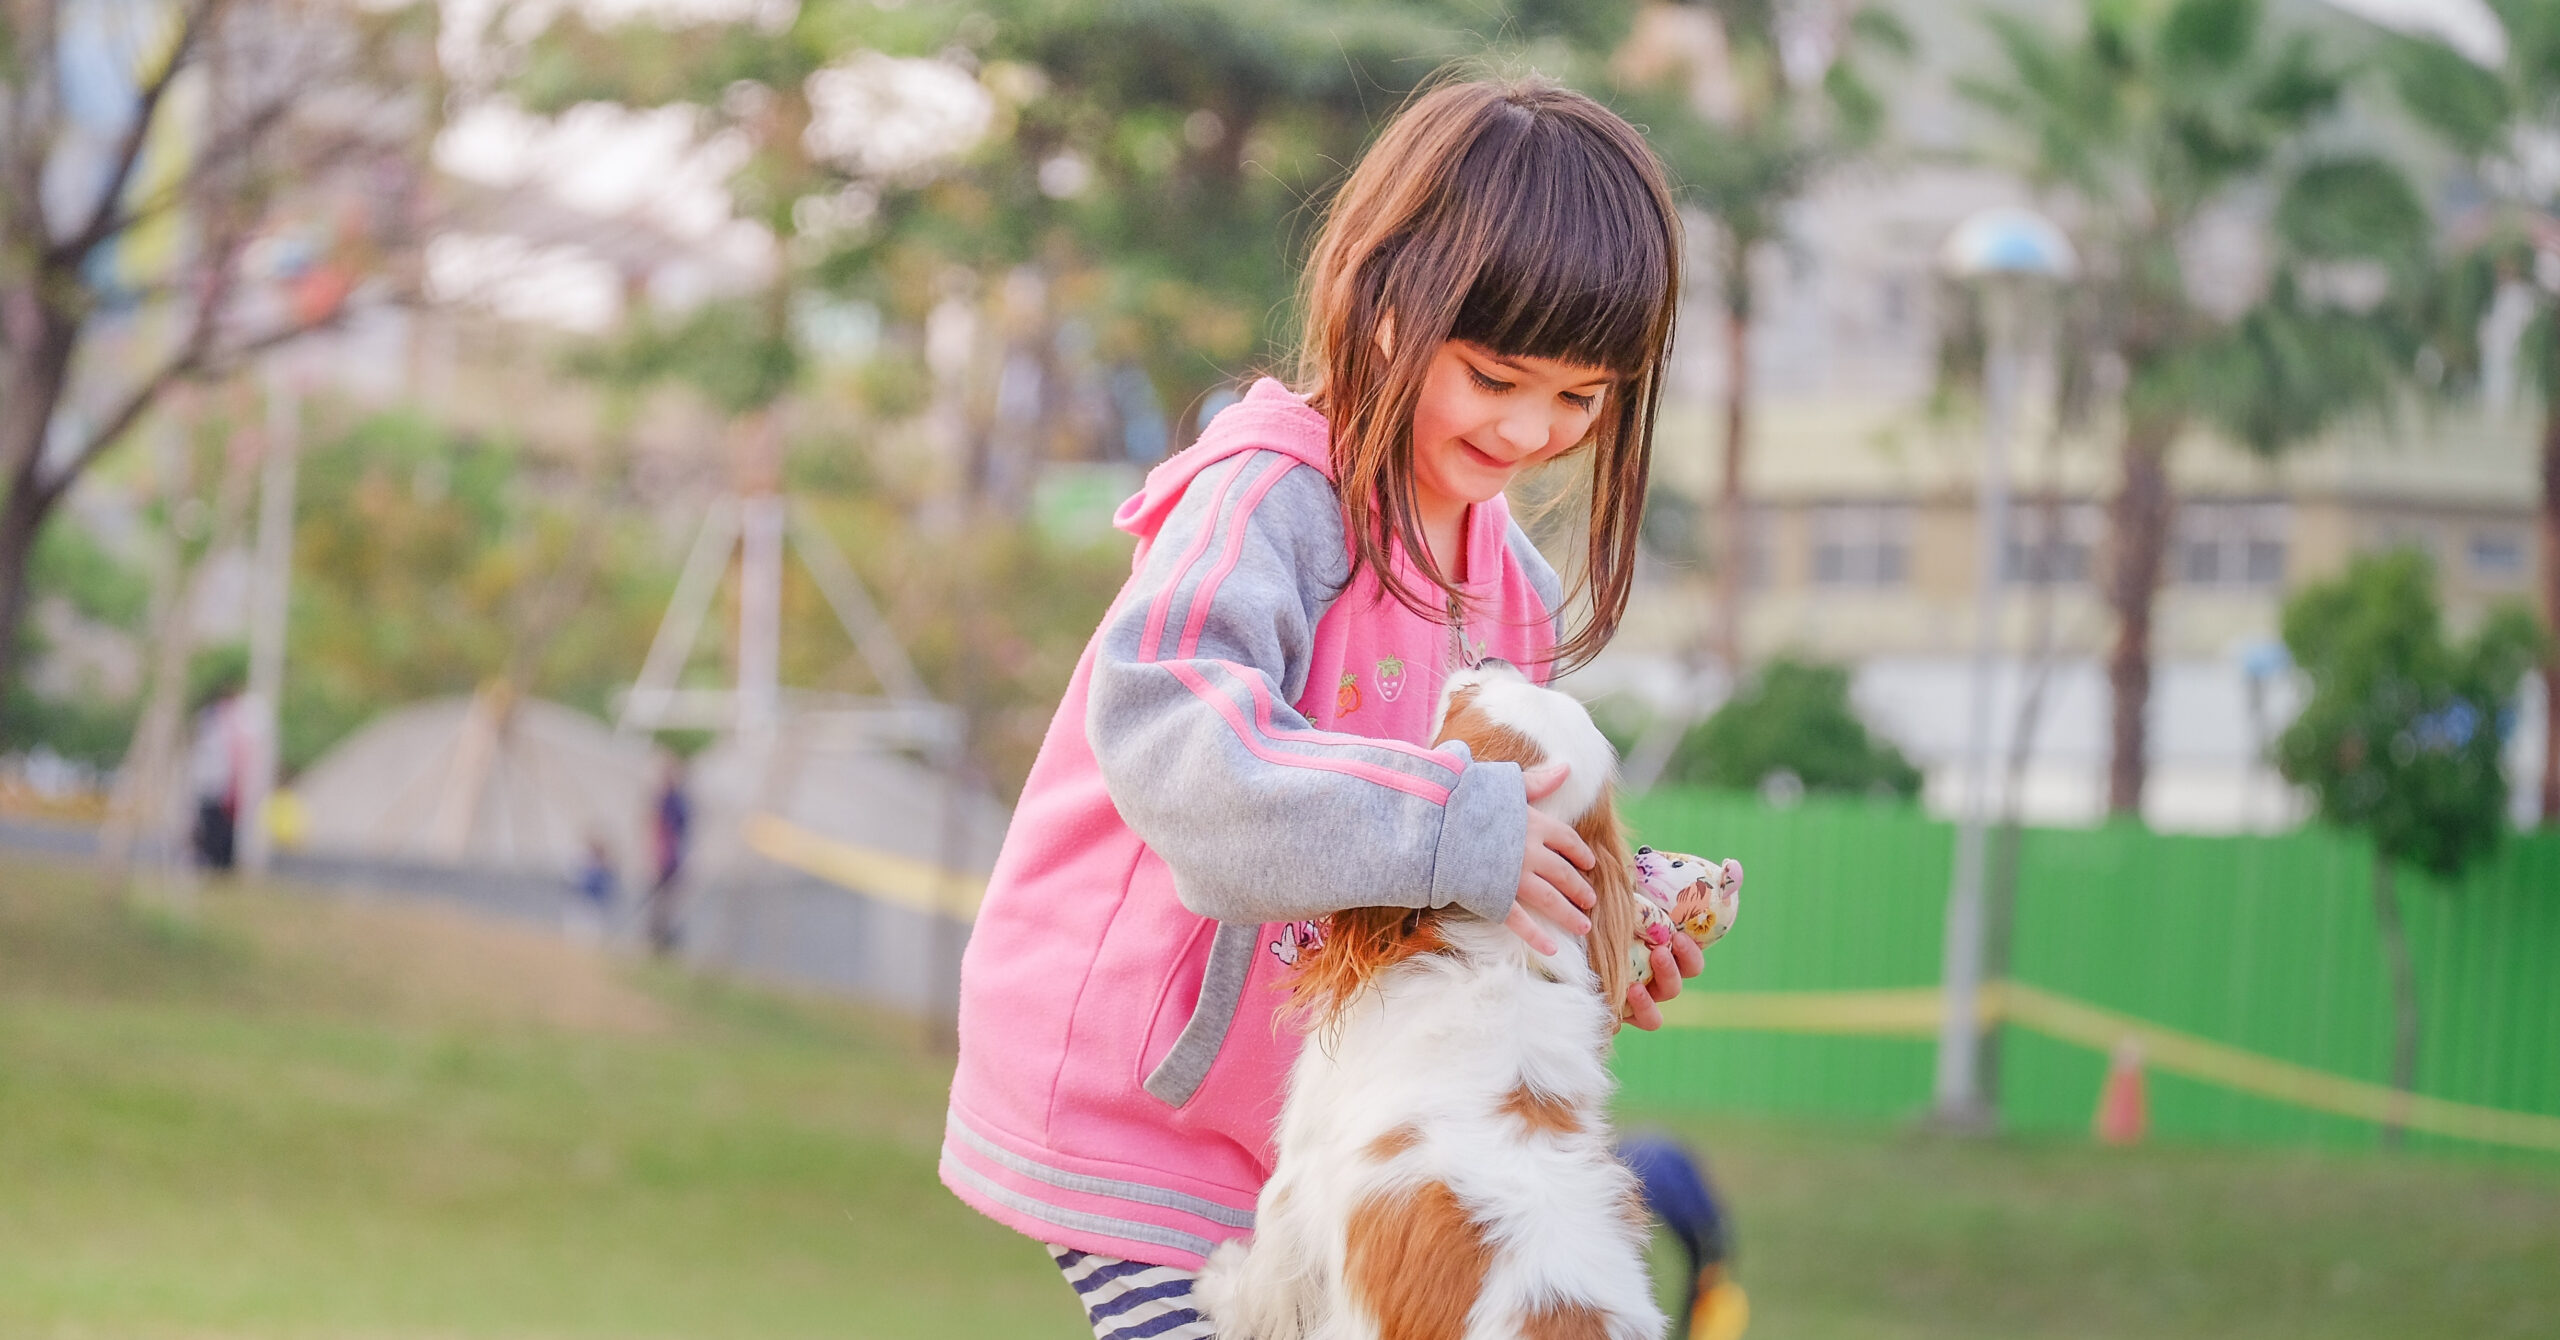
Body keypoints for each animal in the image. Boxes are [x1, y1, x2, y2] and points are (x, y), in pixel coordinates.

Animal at [1192, 666, 1689, 1340]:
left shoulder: (1296, 1175)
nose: (1489, 657)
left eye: (1463, 703)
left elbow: (1267, 1283)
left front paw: (1220, 1283)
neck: (1498, 957)